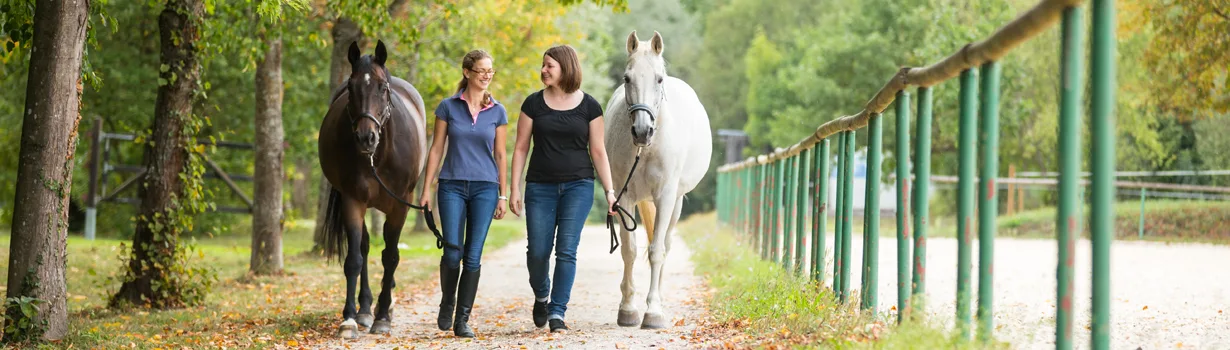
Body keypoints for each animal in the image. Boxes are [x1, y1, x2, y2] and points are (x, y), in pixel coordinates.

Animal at [319, 39, 430, 336]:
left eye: (382, 87)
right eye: (351, 87)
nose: (365, 137)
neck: (377, 156)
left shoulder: (401, 204)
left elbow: (390, 257)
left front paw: (382, 316)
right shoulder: (352, 200)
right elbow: (355, 259)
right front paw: (349, 318)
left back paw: (383, 307)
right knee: (365, 248)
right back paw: (365, 309)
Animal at [602, 29, 713, 326]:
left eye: (659, 79)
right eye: (626, 78)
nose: (643, 131)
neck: (647, 148)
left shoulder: (665, 197)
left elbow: (656, 251)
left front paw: (653, 311)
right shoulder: (625, 197)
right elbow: (629, 250)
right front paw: (628, 309)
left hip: (676, 202)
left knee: (665, 244)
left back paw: (659, 300)